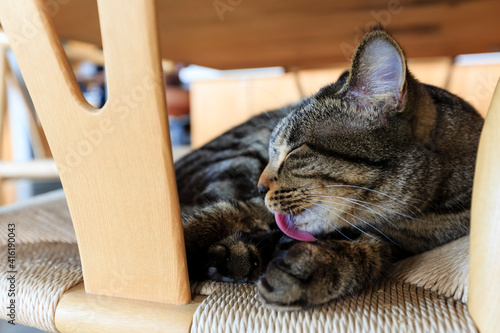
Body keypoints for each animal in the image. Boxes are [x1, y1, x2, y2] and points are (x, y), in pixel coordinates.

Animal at [177, 26, 484, 308]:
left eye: (294, 151)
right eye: (272, 151)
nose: (260, 186)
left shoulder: (400, 242)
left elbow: (368, 252)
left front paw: (313, 269)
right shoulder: (254, 205)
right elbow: (222, 213)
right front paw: (183, 241)